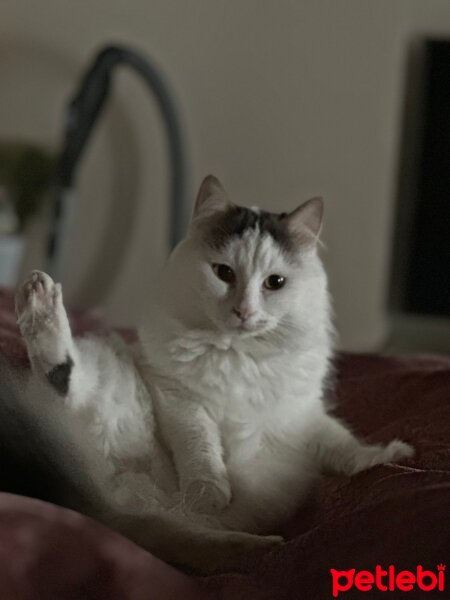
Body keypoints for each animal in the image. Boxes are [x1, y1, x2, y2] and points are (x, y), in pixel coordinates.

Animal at [11, 176, 412, 568]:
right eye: (223, 273)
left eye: (275, 283)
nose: (244, 312)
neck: (239, 352)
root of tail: (104, 506)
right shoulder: (180, 400)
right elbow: (201, 449)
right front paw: (209, 492)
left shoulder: (301, 415)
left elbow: (341, 443)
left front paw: (388, 456)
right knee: (62, 379)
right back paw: (39, 298)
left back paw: (260, 546)